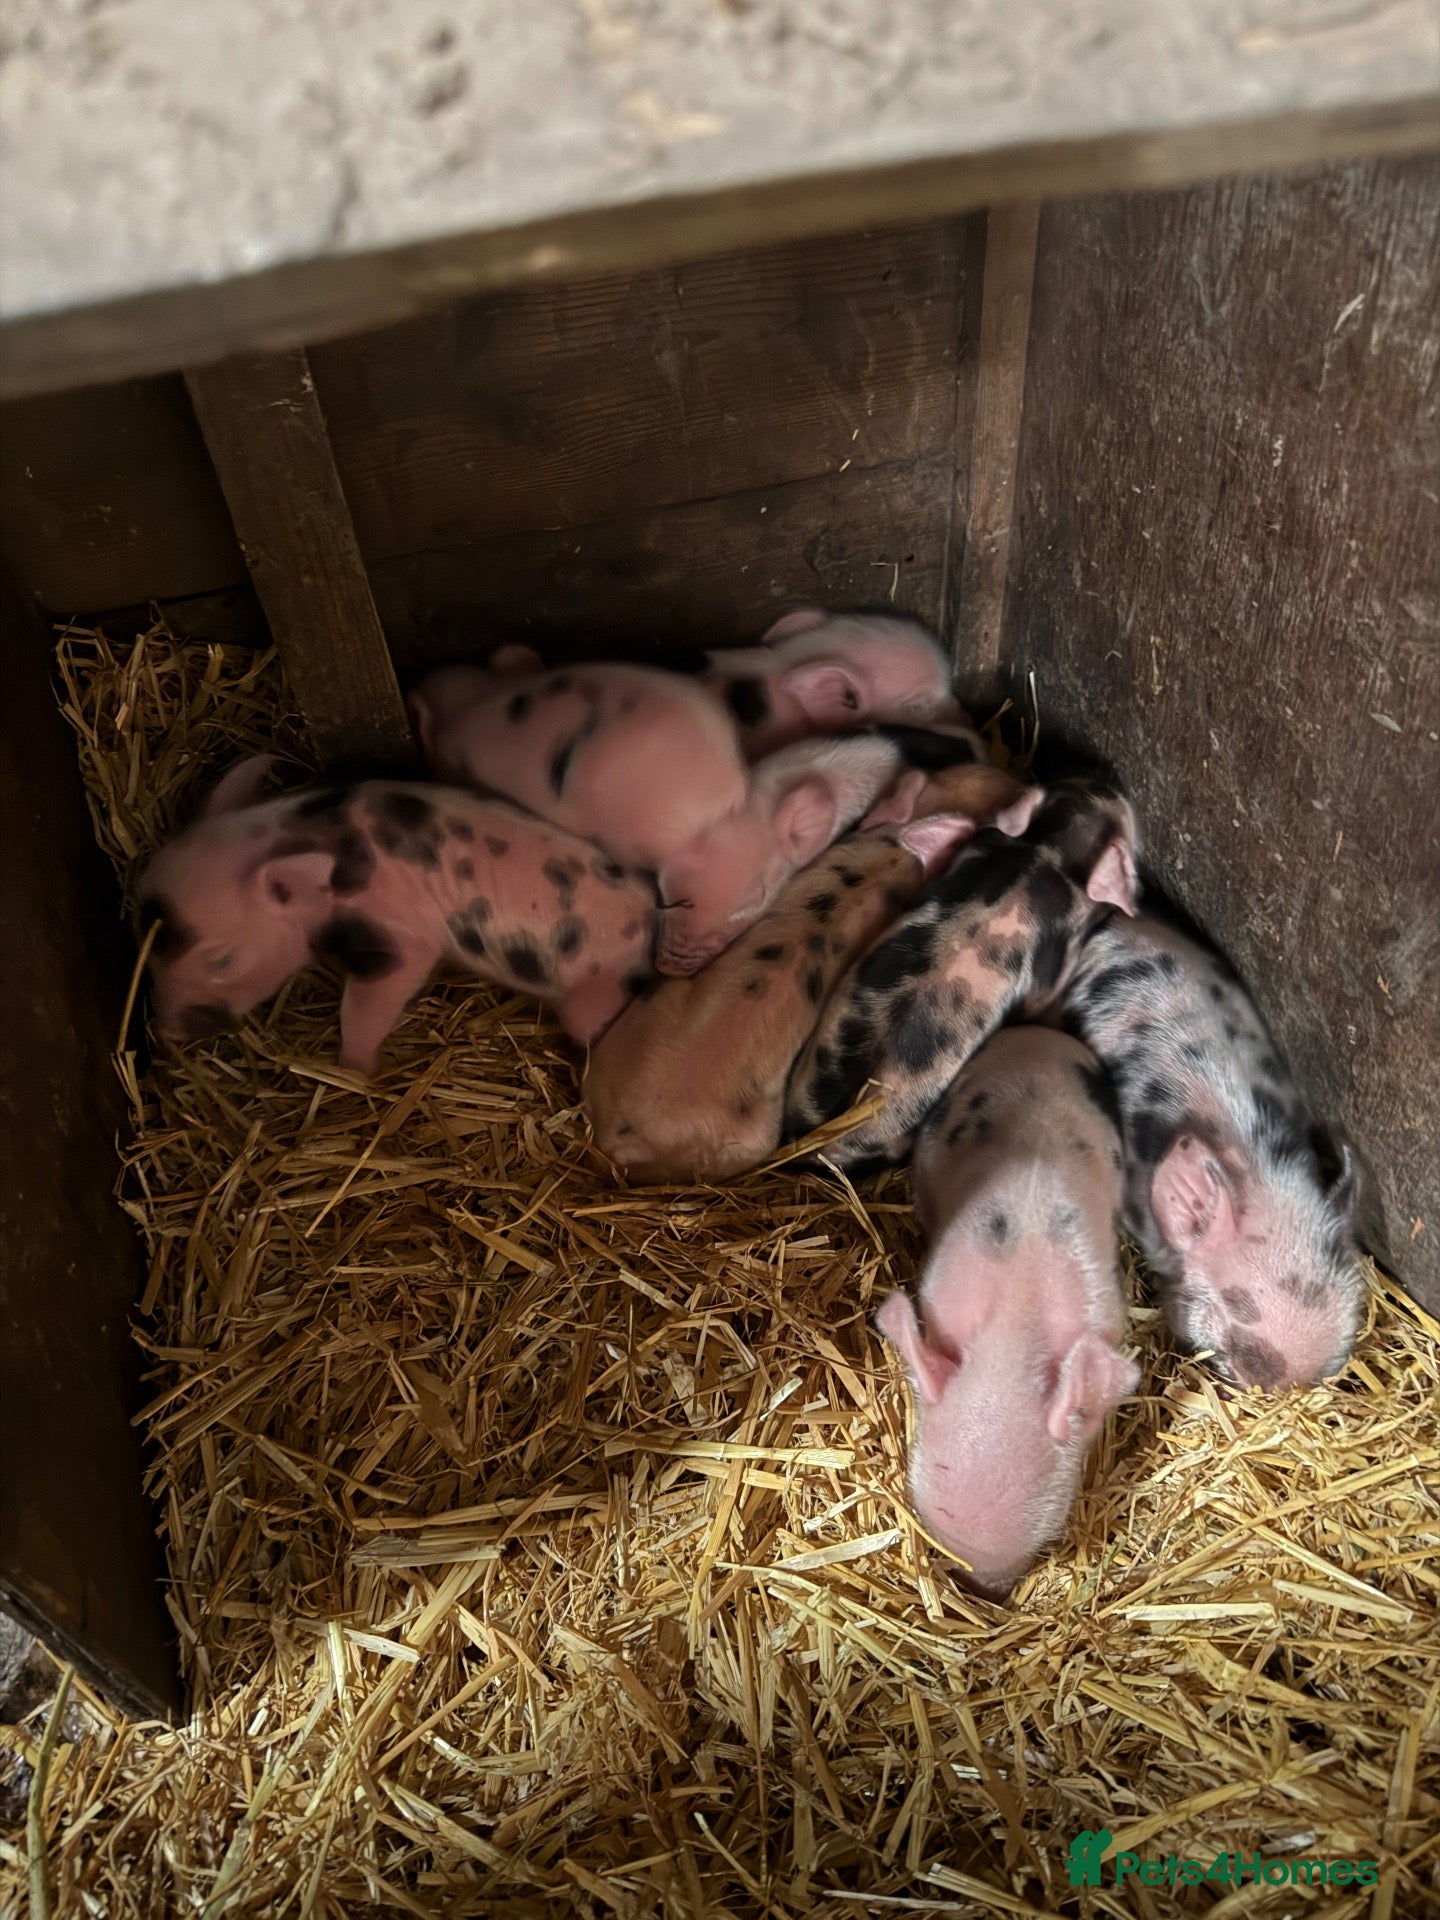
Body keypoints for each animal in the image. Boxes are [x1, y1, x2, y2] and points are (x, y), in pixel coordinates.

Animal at [137, 757, 660, 1074]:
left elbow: (375, 993)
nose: (165, 1030)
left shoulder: (397, 929)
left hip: (592, 992)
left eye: (222, 960)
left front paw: (354, 1069)